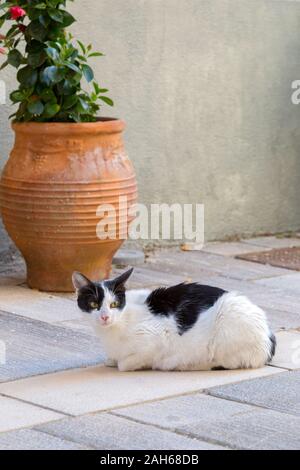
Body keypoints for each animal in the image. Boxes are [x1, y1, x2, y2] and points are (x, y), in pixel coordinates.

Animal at [72, 268, 276, 370]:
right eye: (93, 304)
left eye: (114, 304)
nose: (105, 317)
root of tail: (268, 337)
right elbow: (114, 359)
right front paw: (112, 360)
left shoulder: (155, 339)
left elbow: (126, 363)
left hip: (228, 318)